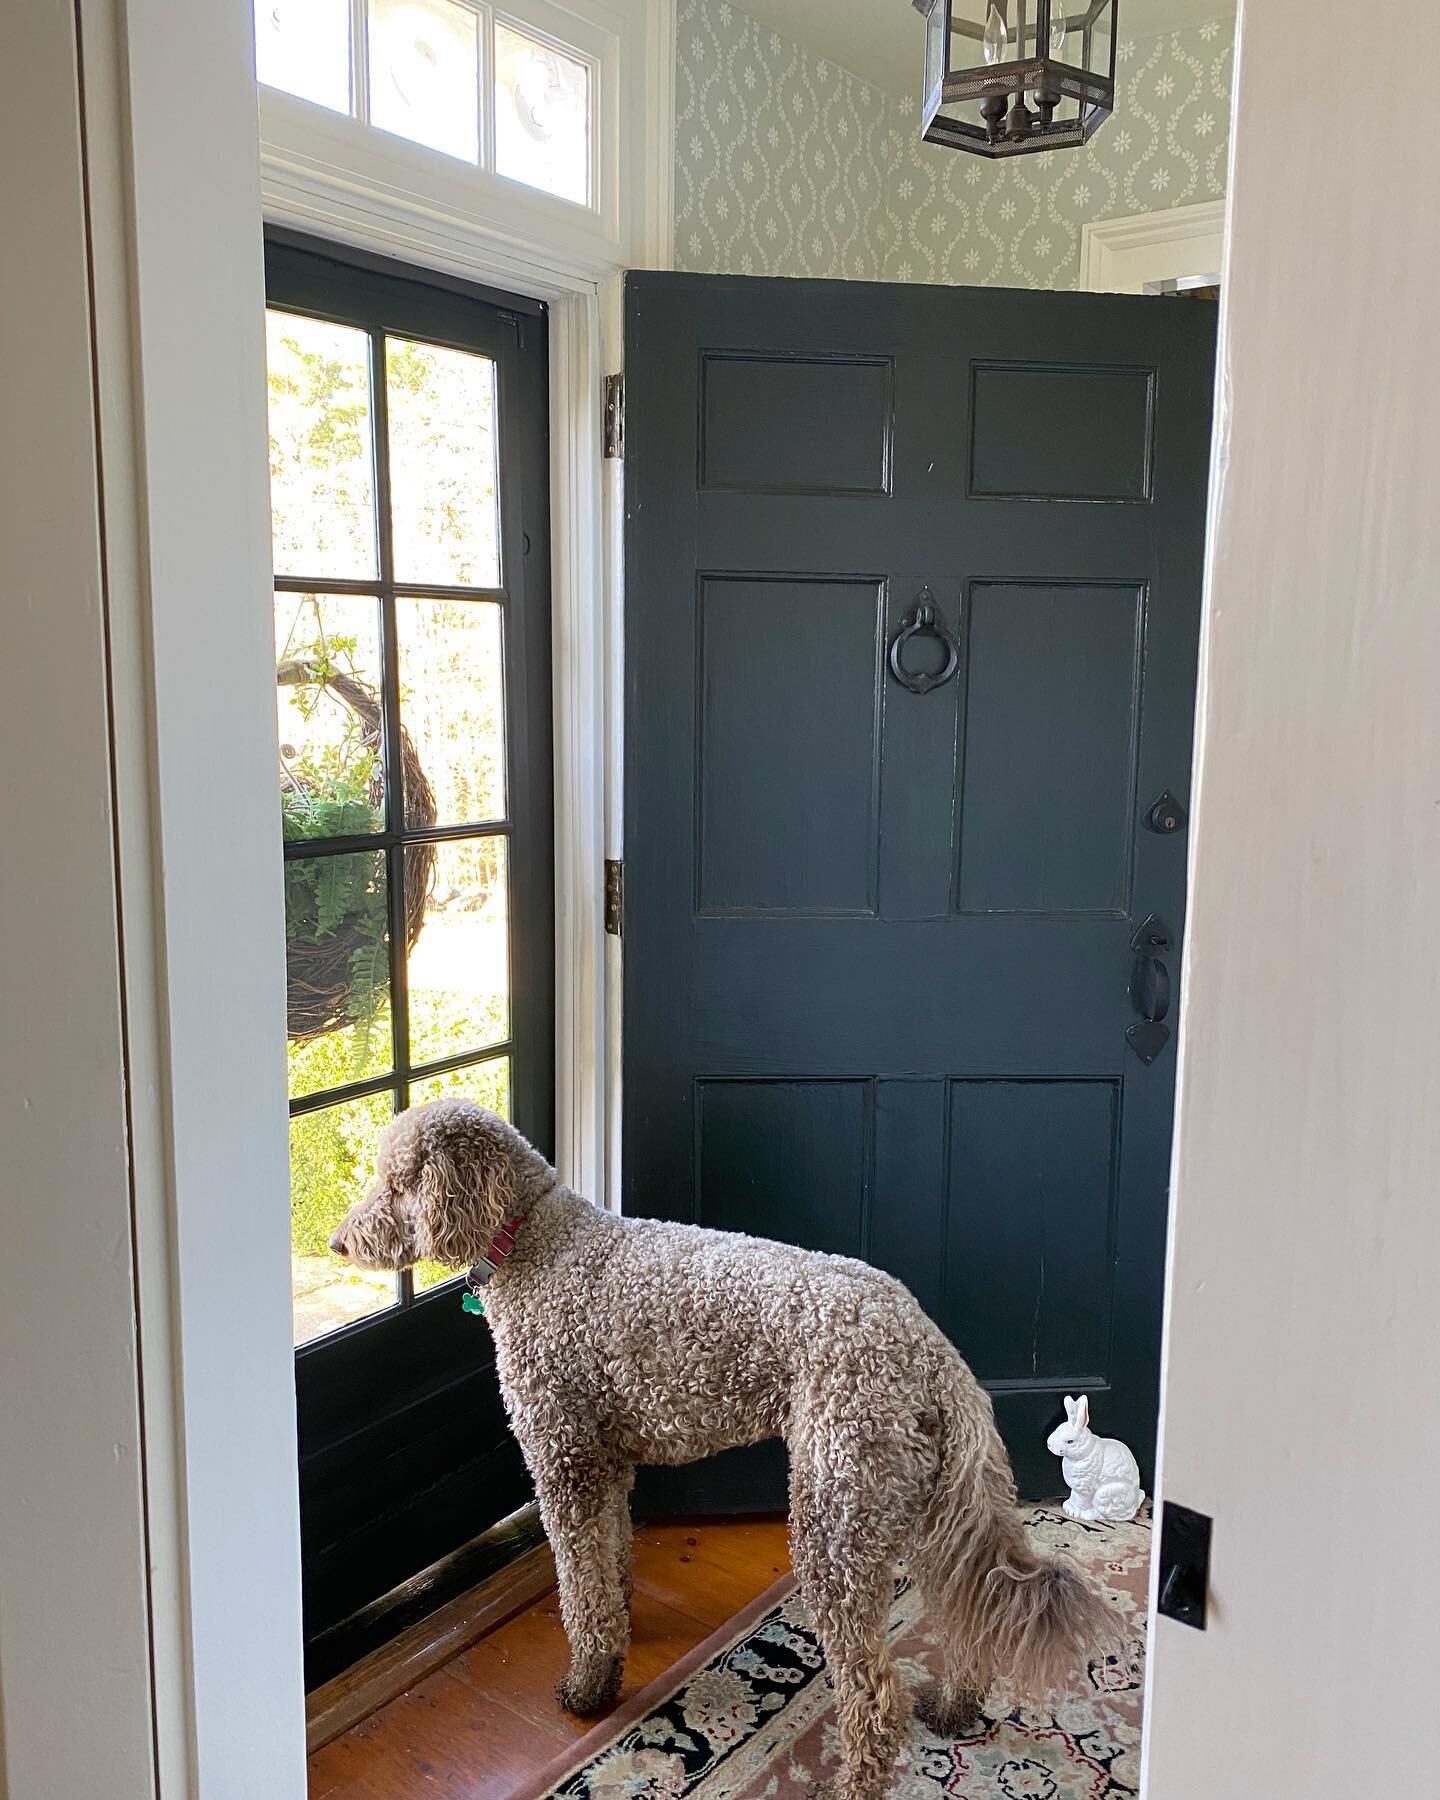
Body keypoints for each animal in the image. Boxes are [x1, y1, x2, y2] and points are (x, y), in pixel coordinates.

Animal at [331, 1094, 1116, 1800]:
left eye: (396, 1182)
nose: (340, 1242)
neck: (536, 1241)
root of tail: (926, 1343)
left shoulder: (563, 1463)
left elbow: (580, 1592)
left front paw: (588, 1685)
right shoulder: (606, 1464)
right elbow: (611, 1563)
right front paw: (621, 1634)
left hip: (835, 1517)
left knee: (875, 1697)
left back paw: (854, 1784)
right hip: (916, 1503)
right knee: (965, 1620)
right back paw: (955, 1708)